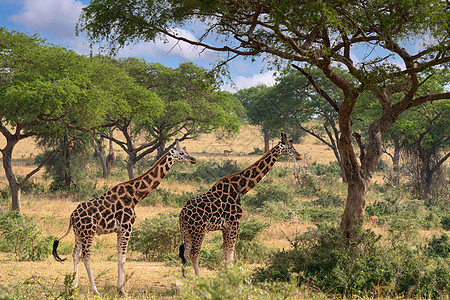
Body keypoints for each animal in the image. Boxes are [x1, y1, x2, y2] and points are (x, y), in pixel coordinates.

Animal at [51, 141, 196, 296]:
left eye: (187, 151)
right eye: (181, 153)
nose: (193, 159)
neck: (135, 196)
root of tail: (72, 216)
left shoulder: (120, 230)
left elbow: (119, 257)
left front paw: (119, 289)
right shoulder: (127, 228)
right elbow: (122, 258)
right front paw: (122, 291)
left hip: (78, 233)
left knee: (75, 255)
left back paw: (73, 288)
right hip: (88, 232)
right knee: (86, 256)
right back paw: (95, 290)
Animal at [178, 134, 300, 276]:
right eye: (290, 147)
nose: (299, 156)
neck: (241, 188)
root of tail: (182, 214)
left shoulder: (225, 227)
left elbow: (226, 254)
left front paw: (225, 275)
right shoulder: (234, 223)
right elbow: (230, 254)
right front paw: (229, 276)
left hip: (186, 230)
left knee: (185, 253)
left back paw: (183, 279)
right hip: (199, 230)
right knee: (194, 254)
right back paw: (198, 278)